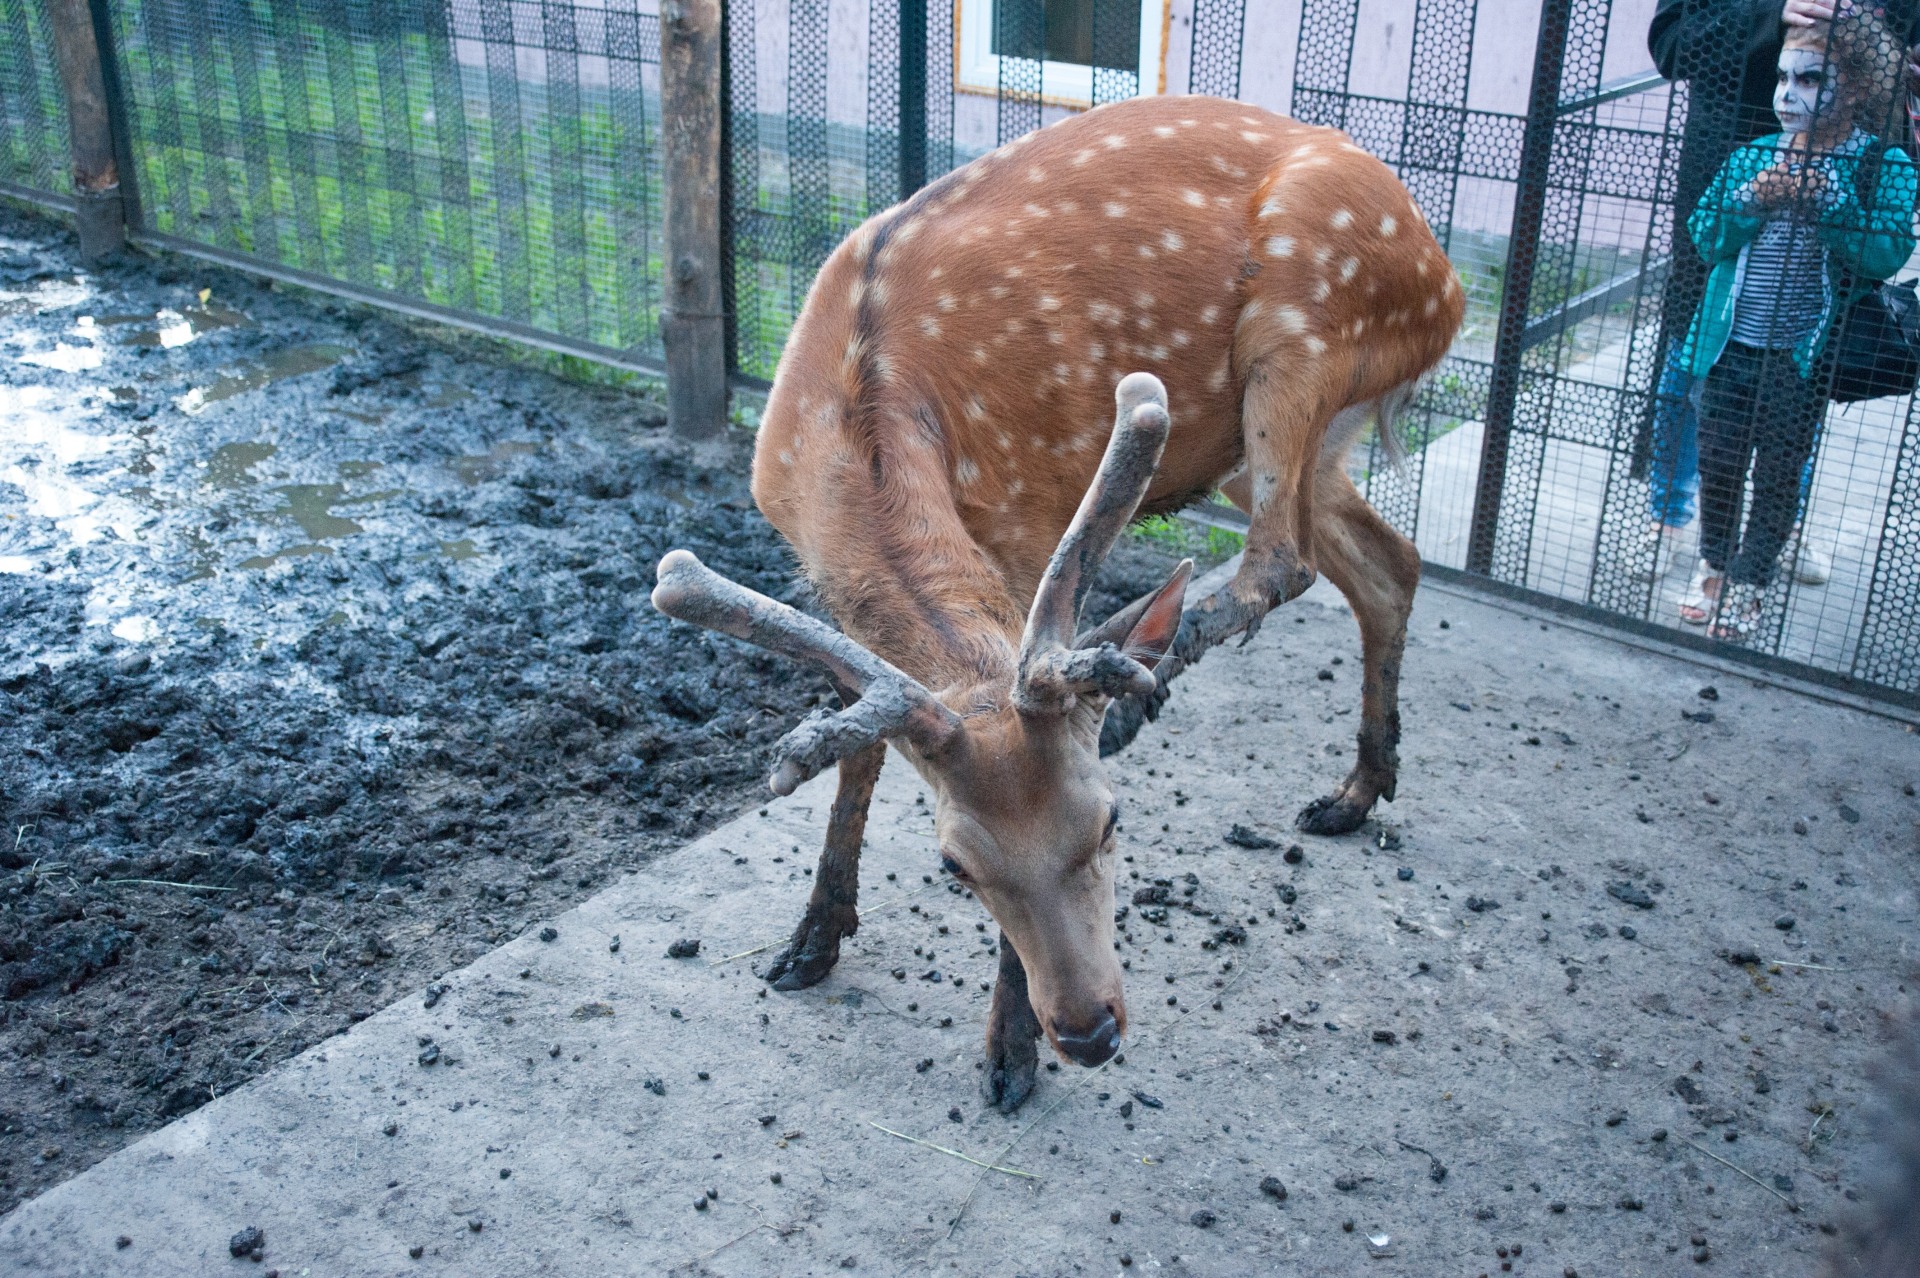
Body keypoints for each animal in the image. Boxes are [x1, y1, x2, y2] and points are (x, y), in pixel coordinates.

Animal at [652, 93, 1463, 1110]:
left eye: (1111, 821)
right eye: (954, 863)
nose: (1087, 1031)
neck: (854, 423)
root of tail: (1448, 276)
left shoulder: (1035, 519)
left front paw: (1008, 1055)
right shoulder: (823, 588)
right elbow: (860, 746)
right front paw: (811, 941)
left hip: (1303, 337)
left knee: (1283, 561)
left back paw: (1147, 691)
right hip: (1261, 439)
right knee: (1390, 562)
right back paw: (1353, 793)